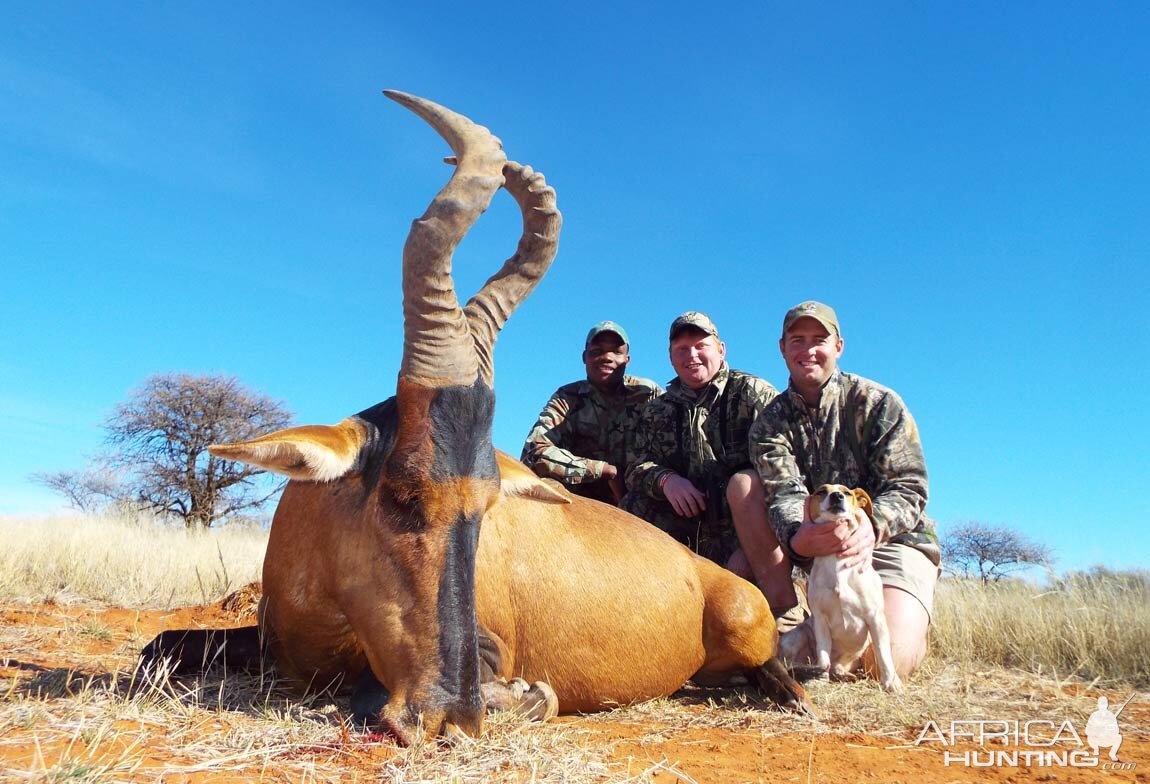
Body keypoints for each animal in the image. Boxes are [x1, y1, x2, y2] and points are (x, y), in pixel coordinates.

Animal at [800, 482, 897, 689]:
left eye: (847, 492)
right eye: (821, 491)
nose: (837, 496)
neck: (837, 563)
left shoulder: (875, 617)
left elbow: (883, 654)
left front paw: (891, 683)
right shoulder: (820, 620)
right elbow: (822, 656)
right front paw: (819, 680)